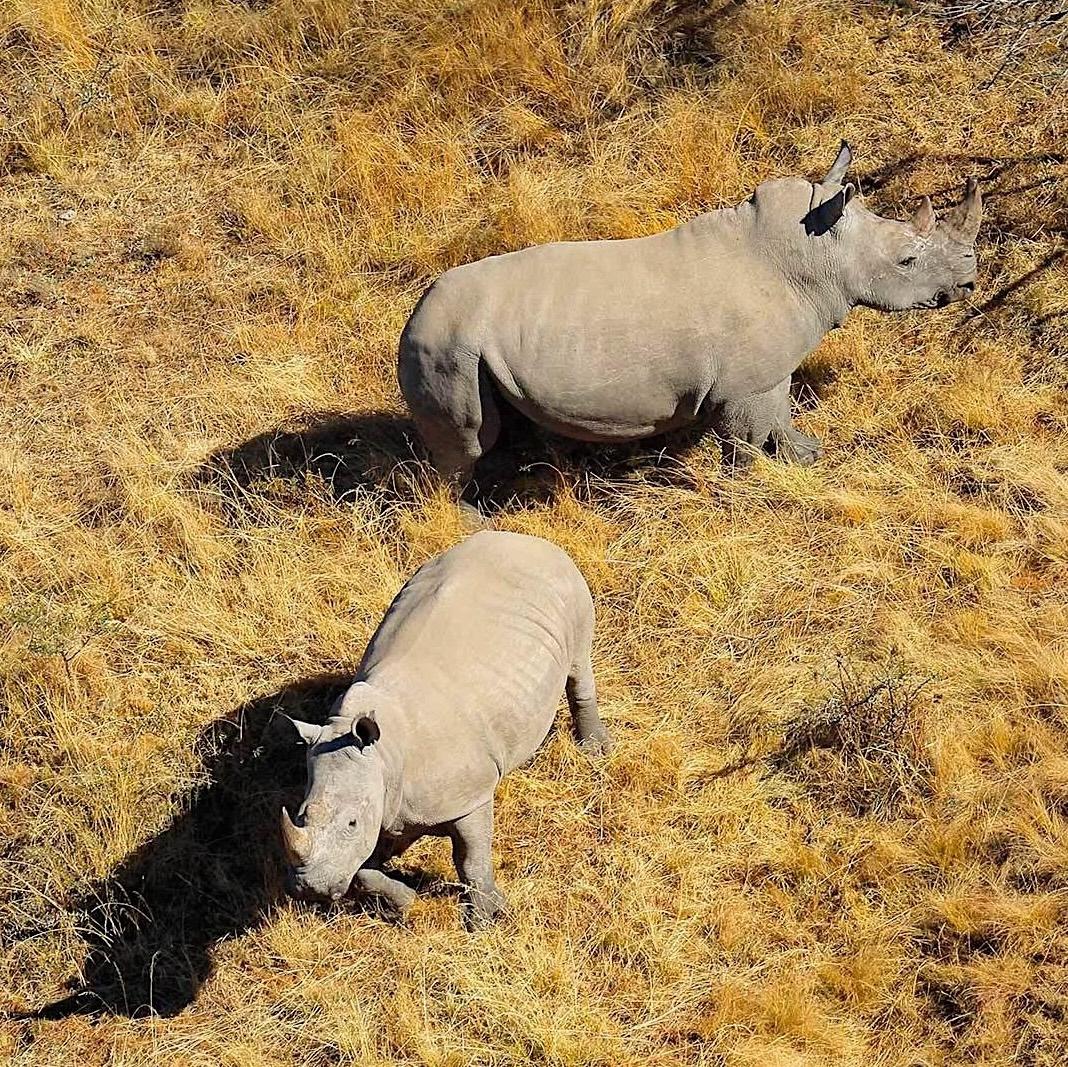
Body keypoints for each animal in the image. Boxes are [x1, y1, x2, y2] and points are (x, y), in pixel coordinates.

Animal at [277, 530, 611, 927]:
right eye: (301, 814)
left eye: (352, 823)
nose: (309, 889)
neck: (384, 756)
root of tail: (528, 538)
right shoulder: (385, 801)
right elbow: (362, 868)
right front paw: (405, 904)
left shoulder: (470, 795)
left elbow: (470, 858)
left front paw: (485, 920)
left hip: (568, 588)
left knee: (579, 661)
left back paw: (594, 752)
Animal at [398, 142, 981, 485]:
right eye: (907, 261)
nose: (969, 283)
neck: (817, 252)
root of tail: (412, 316)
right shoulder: (747, 384)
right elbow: (750, 440)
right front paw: (757, 487)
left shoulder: (767, 375)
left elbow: (781, 420)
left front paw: (808, 457)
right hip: (443, 345)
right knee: (467, 444)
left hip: (459, 342)